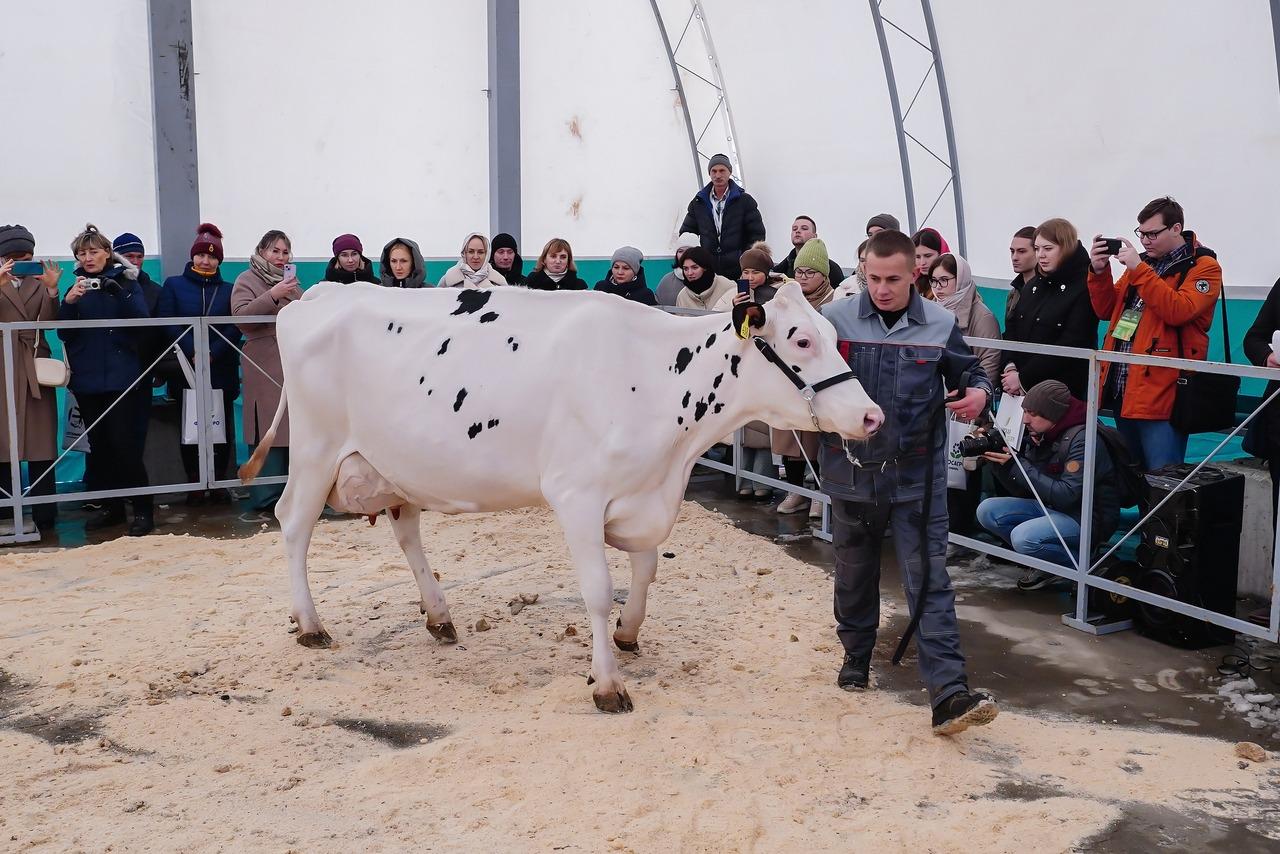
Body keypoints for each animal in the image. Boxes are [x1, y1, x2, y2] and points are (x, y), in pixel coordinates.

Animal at [240, 281, 880, 717]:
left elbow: (645, 570)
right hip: (316, 449)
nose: (872, 416)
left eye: (832, 334)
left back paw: (440, 617)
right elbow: (597, 590)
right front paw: (608, 683)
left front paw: (629, 634)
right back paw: (311, 624)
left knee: (405, 531)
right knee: (292, 523)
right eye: (802, 339)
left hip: (397, 465)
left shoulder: (640, 493)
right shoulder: (578, 495)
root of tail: (319, 292)